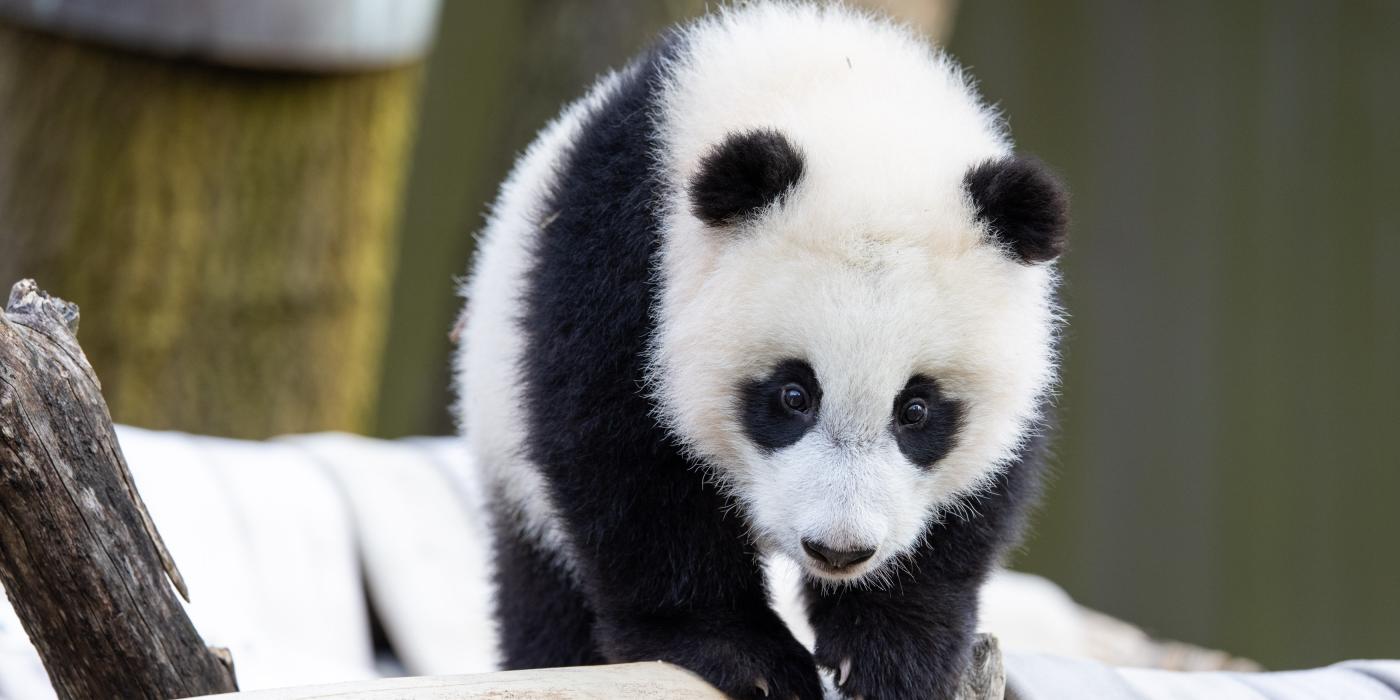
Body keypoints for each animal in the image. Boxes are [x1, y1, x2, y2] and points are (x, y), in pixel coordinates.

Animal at [453, 2, 1064, 697]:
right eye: (793, 395)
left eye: (916, 410)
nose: (838, 550)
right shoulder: (624, 255)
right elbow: (621, 457)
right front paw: (745, 654)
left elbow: (976, 501)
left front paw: (892, 651)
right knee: (544, 595)